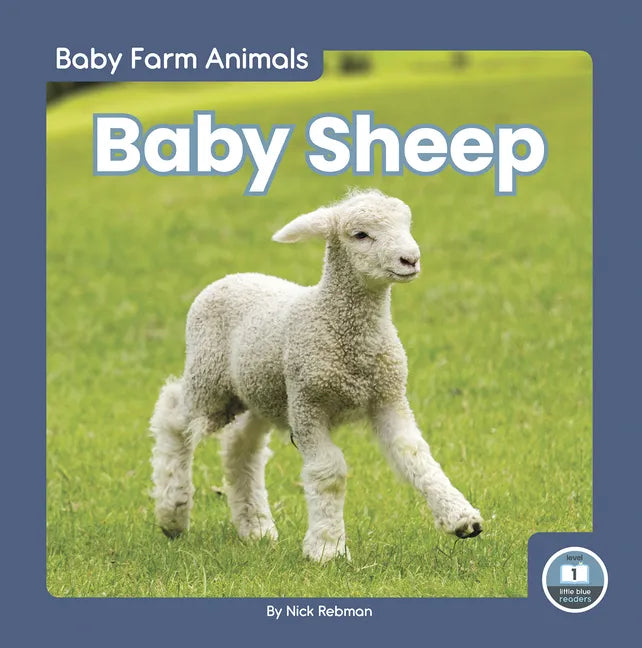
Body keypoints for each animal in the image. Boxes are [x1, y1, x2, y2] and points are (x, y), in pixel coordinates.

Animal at [150, 188, 483, 562]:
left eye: (406, 224)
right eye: (360, 235)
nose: (410, 260)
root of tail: (230, 277)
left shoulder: (388, 397)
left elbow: (416, 455)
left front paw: (460, 518)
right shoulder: (308, 404)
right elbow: (329, 472)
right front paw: (327, 547)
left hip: (262, 392)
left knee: (241, 448)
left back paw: (255, 526)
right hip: (210, 380)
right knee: (173, 418)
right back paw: (173, 512)